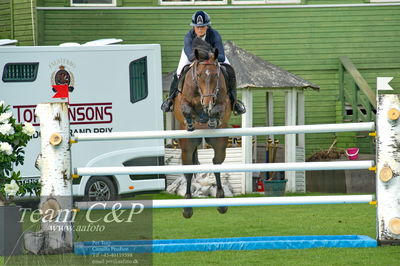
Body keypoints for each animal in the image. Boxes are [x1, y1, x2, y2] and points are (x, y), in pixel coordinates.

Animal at [172, 39, 231, 218]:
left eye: (216, 75)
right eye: (199, 75)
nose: (207, 102)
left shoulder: (223, 103)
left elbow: (218, 109)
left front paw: (211, 118)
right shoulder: (183, 101)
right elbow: (186, 109)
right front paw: (192, 121)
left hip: (219, 142)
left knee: (216, 163)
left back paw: (221, 201)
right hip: (187, 145)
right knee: (188, 169)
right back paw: (187, 207)